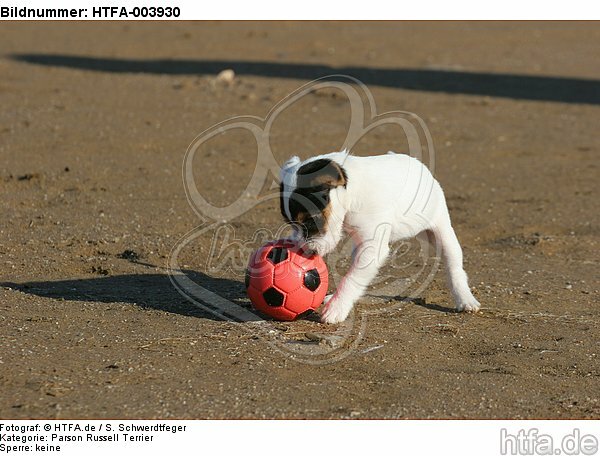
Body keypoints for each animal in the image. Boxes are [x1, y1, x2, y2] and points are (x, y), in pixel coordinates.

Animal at [278, 151, 480, 324]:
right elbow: (356, 275)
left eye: (310, 221)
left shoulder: (372, 248)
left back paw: (465, 299)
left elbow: (351, 278)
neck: (352, 194)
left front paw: (337, 308)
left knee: (455, 268)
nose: (304, 251)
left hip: (442, 231)